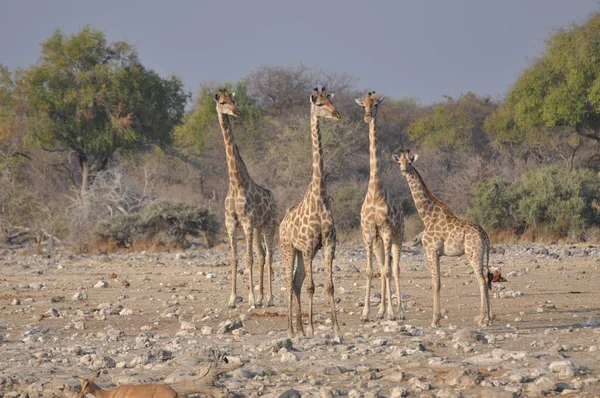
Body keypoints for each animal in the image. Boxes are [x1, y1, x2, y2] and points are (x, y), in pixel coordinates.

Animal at [216, 89, 276, 308]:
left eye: (233, 100)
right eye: (223, 102)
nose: (237, 112)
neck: (236, 182)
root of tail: (273, 197)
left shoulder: (247, 222)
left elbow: (248, 258)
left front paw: (249, 298)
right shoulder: (231, 223)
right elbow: (234, 258)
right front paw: (232, 299)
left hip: (269, 225)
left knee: (269, 255)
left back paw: (269, 298)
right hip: (259, 228)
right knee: (262, 254)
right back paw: (261, 297)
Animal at [392, 149, 494, 326]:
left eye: (410, 162)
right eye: (400, 162)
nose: (404, 170)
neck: (427, 216)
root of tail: (485, 235)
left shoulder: (431, 251)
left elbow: (436, 283)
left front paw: (435, 320)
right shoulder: (438, 254)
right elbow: (439, 283)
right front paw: (437, 318)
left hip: (473, 254)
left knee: (481, 280)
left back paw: (481, 317)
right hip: (480, 254)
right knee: (487, 279)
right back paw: (488, 318)